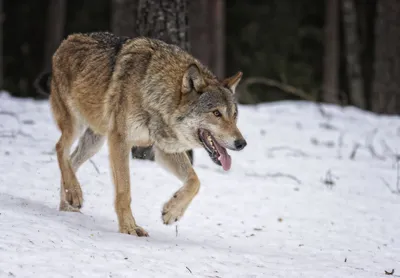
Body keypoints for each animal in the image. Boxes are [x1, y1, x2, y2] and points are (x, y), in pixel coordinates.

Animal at [35, 32, 247, 237]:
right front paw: (129, 228)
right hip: (76, 125)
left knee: (71, 160)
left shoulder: (163, 150)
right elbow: (124, 191)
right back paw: (74, 193)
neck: (154, 92)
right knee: (60, 149)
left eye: (234, 114)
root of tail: (67, 41)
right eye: (216, 113)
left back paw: (68, 204)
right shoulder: (119, 140)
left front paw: (172, 211)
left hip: (95, 140)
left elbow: (195, 181)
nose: (242, 143)